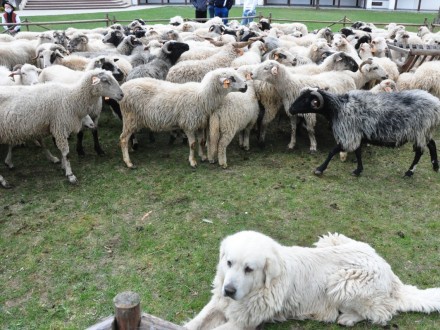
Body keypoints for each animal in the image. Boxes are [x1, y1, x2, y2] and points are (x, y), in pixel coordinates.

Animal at [118, 68, 248, 169]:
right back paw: (128, 162)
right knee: (123, 139)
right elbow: (193, 144)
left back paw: (131, 151)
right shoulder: (188, 124)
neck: (202, 97)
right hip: (130, 118)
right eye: (232, 78)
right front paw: (193, 161)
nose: (246, 86)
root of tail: (123, 88)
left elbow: (202, 141)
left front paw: (203, 156)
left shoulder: (200, 124)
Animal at [184, 231, 440, 328]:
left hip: (342, 282)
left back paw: (348, 318)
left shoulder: (243, 323)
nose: (228, 290)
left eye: (249, 269)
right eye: (228, 263)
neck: (258, 290)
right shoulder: (219, 302)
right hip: (331, 239)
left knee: (383, 312)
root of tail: (389, 271)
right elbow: (198, 321)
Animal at [288, 86, 440, 177]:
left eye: (306, 100)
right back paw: (435, 166)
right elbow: (357, 152)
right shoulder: (356, 134)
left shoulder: (349, 134)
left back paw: (409, 172)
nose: (290, 110)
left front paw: (319, 169)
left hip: (419, 131)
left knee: (420, 152)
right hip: (425, 131)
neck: (338, 108)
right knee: (432, 144)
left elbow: (333, 151)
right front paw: (358, 170)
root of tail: (436, 104)